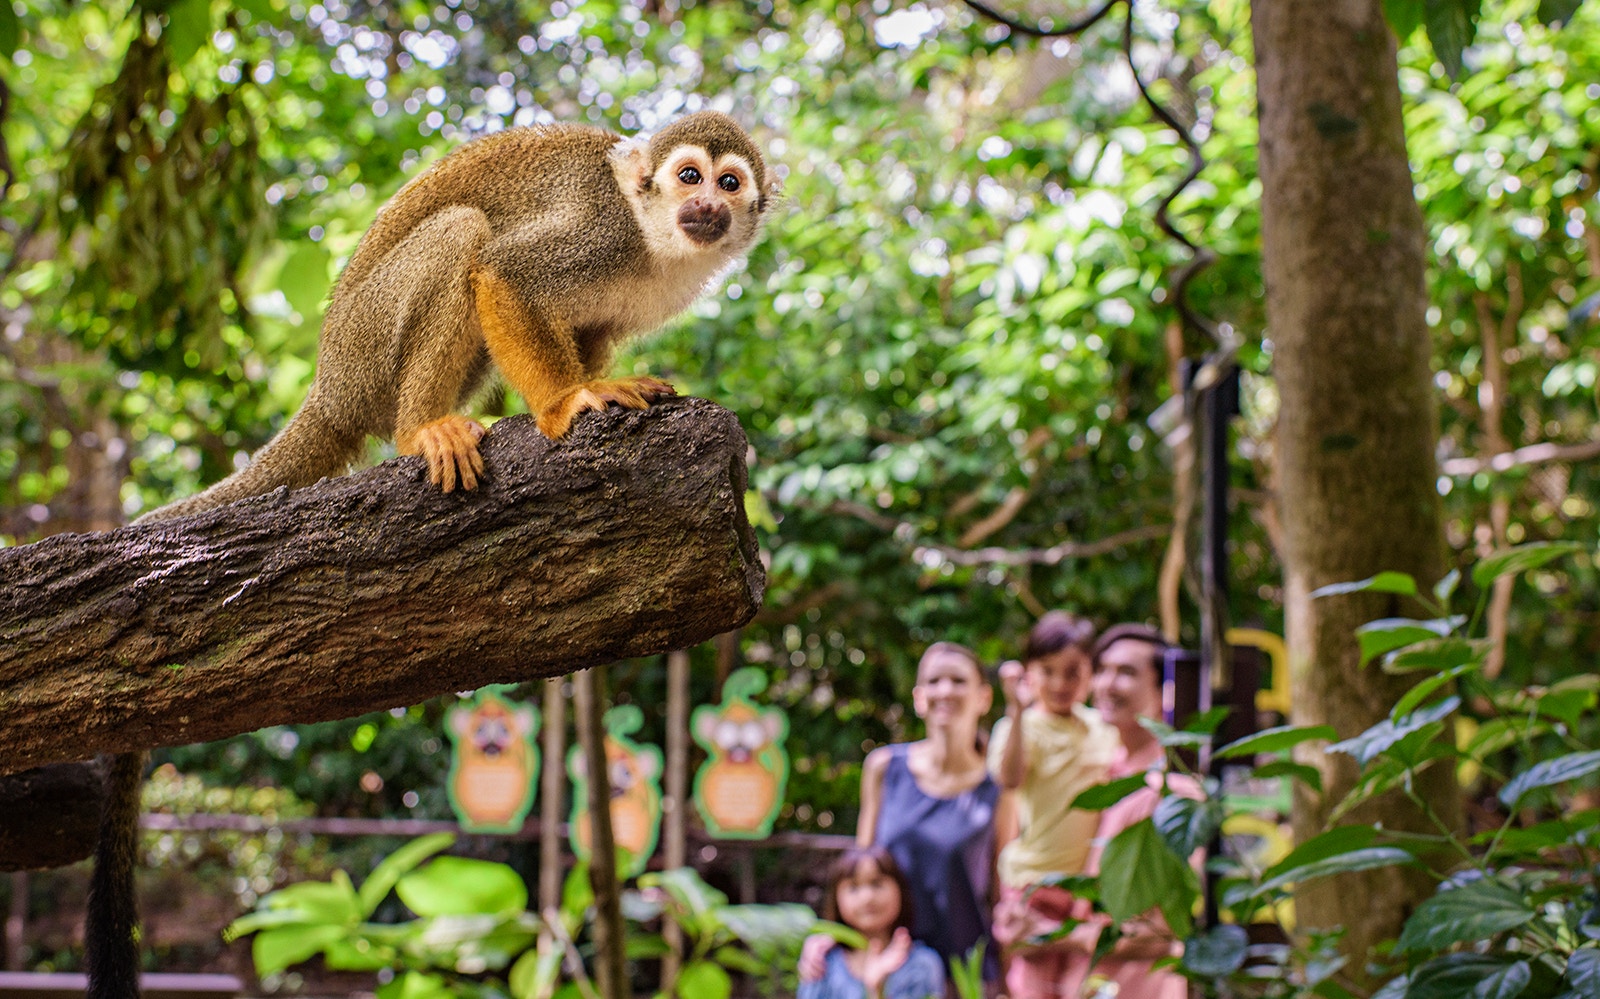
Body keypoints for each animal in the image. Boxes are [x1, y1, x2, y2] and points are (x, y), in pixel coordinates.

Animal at [87, 110, 776, 999]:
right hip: (369, 344)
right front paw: (569, 402)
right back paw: (423, 427)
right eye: (688, 176)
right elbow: (504, 273)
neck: (656, 244)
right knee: (463, 233)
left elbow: (586, 330)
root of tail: (328, 383)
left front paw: (594, 385)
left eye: (729, 183)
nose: (708, 209)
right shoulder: (599, 234)